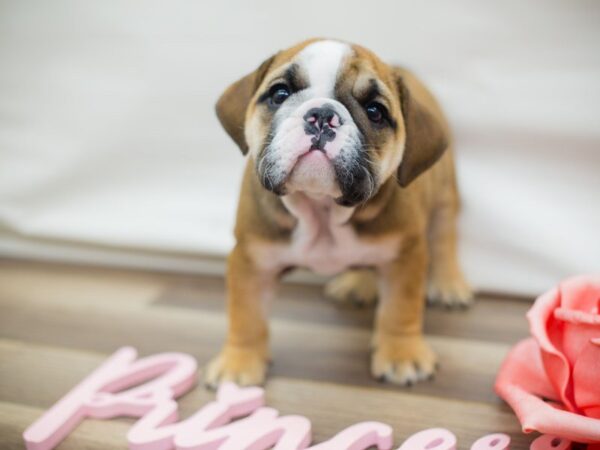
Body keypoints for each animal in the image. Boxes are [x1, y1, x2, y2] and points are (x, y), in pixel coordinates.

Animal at [206, 38, 474, 388]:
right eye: (280, 93)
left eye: (375, 112)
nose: (322, 115)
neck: (322, 209)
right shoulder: (251, 260)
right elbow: (246, 315)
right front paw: (238, 364)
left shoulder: (405, 255)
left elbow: (400, 310)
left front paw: (402, 355)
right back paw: (359, 284)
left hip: (445, 194)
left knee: (445, 236)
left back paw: (448, 284)